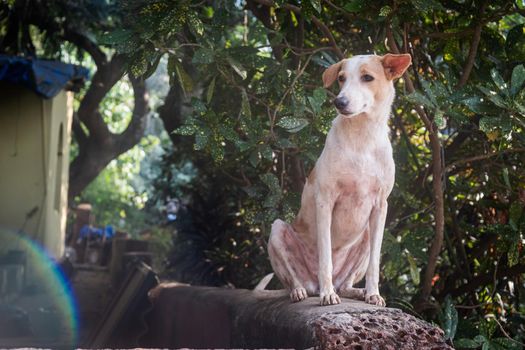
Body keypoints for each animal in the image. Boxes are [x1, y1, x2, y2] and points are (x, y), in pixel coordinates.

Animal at [268, 53, 412, 304]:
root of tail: (312, 284)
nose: (339, 102)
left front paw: (374, 294)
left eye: (367, 77)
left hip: (365, 238)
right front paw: (327, 295)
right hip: (276, 230)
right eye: (341, 78)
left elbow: (375, 264)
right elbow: (325, 256)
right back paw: (303, 291)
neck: (362, 138)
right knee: (292, 279)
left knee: (345, 285)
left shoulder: (380, 207)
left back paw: (357, 291)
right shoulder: (326, 201)